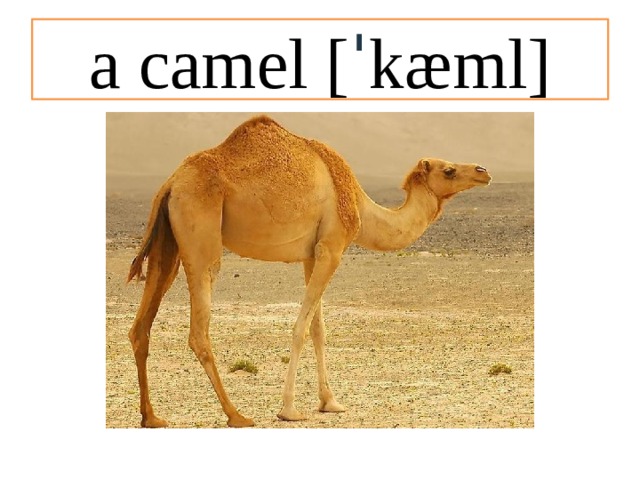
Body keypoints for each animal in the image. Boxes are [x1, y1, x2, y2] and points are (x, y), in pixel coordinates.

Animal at [126, 115, 491, 428]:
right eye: (448, 170)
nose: (483, 170)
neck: (359, 205)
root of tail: (171, 183)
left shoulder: (311, 255)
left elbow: (319, 329)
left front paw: (330, 402)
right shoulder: (332, 248)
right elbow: (301, 328)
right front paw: (288, 409)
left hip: (168, 244)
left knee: (141, 326)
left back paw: (152, 417)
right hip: (200, 232)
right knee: (199, 328)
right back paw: (236, 415)